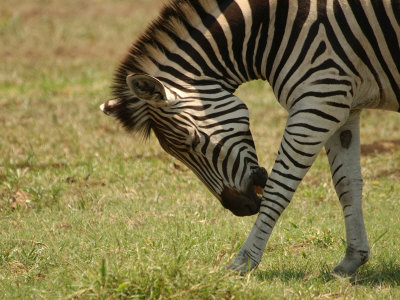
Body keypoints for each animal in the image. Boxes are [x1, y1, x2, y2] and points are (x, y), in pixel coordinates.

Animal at [99, 0, 396, 276]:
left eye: (189, 140)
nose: (240, 207)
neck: (275, 29)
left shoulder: (319, 99)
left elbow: (278, 188)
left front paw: (243, 263)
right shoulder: (343, 106)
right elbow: (347, 184)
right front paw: (352, 260)